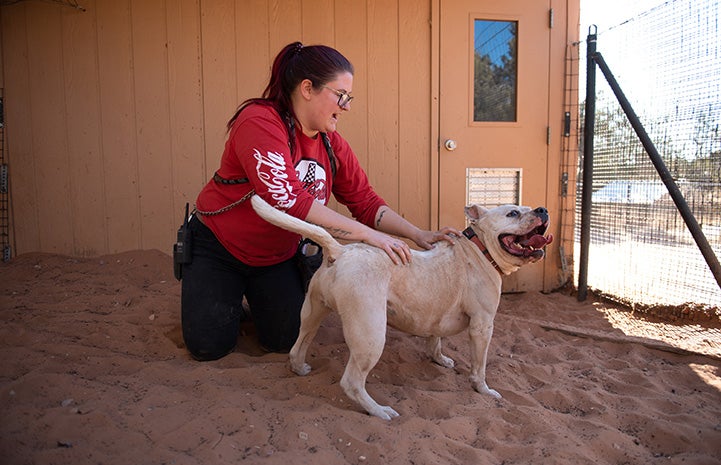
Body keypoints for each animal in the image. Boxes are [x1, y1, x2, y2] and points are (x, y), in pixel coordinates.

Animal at [249, 194, 552, 418]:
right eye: (513, 213)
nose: (543, 209)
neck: (480, 248)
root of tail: (340, 250)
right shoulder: (482, 326)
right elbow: (479, 368)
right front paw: (484, 390)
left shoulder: (436, 314)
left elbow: (435, 340)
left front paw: (439, 359)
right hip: (370, 334)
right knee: (352, 382)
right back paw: (379, 411)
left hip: (312, 313)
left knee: (297, 346)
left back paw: (300, 368)